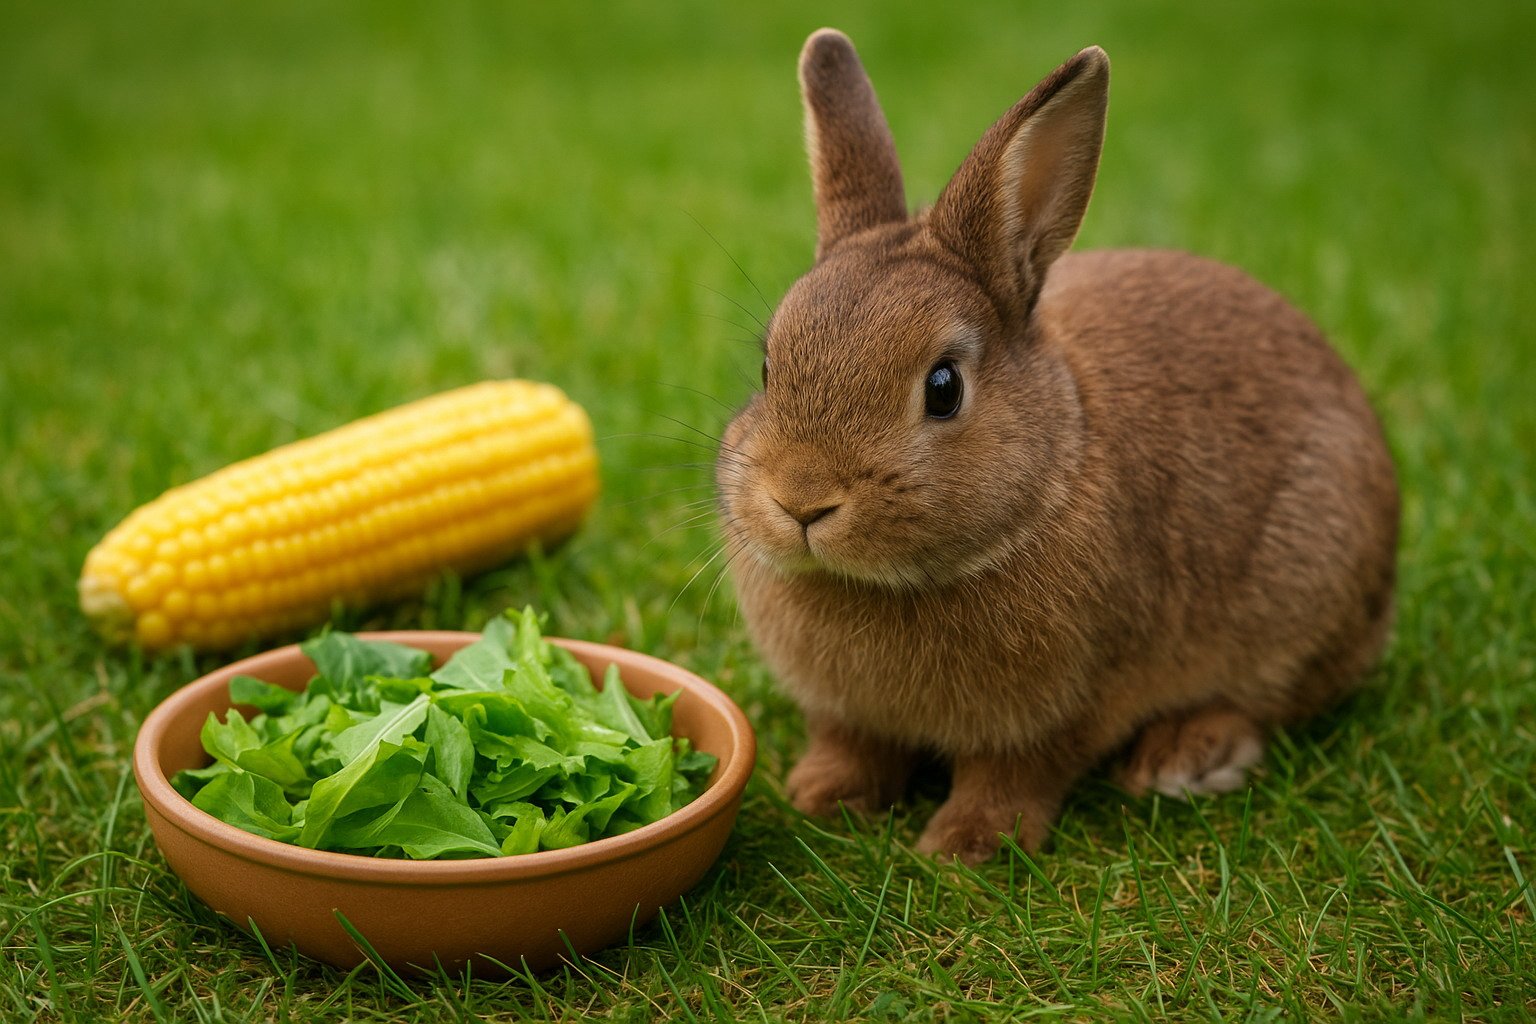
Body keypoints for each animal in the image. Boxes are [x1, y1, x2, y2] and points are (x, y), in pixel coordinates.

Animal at [714, 29, 1399, 864]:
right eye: (768, 366)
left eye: (943, 387)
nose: (801, 501)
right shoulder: (847, 715)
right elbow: (854, 747)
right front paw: (820, 797)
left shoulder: (1066, 707)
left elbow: (1014, 776)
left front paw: (965, 847)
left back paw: (1185, 758)